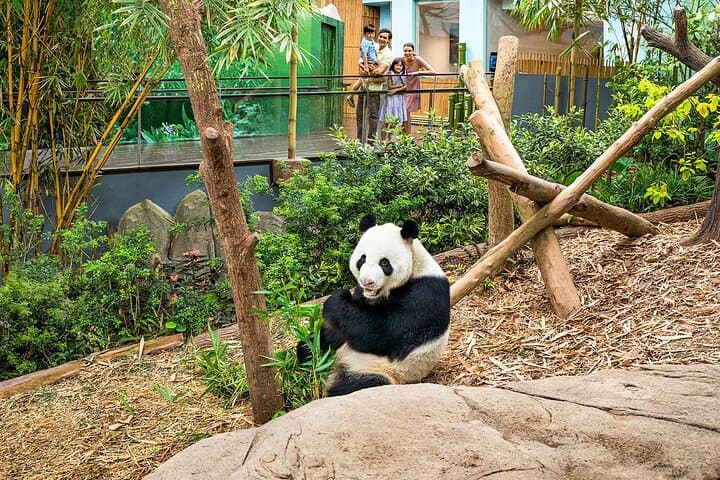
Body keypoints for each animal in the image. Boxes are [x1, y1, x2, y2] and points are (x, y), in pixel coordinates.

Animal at [299, 215, 451, 397]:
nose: (367, 282)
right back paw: (308, 353)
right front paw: (312, 345)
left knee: (358, 385)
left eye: (384, 263)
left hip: (382, 370)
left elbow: (380, 332)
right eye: (362, 259)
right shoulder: (363, 295)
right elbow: (343, 327)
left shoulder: (425, 294)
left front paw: (336, 300)